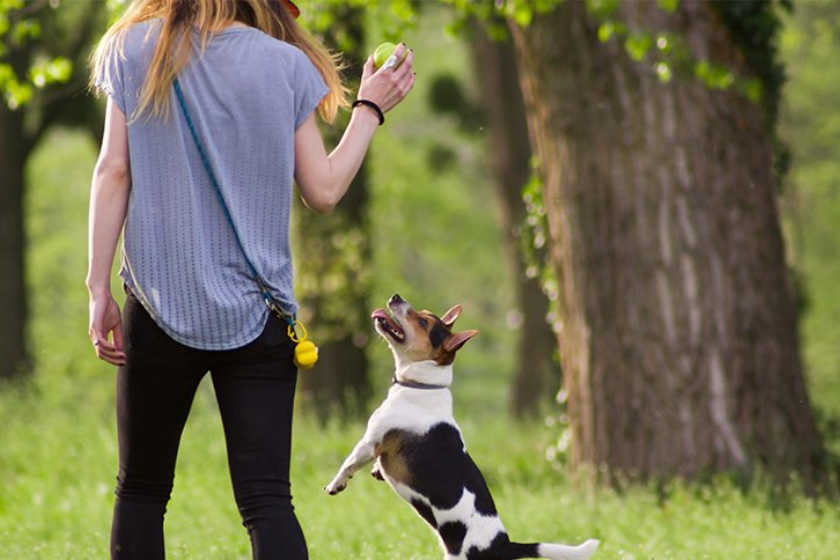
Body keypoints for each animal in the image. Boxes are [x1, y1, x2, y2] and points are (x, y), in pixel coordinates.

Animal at [324, 296, 600, 556]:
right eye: (423, 314)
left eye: (423, 322)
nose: (395, 297)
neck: (423, 386)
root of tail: (503, 545)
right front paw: (374, 472)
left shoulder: (371, 441)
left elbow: (348, 463)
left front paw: (335, 484)